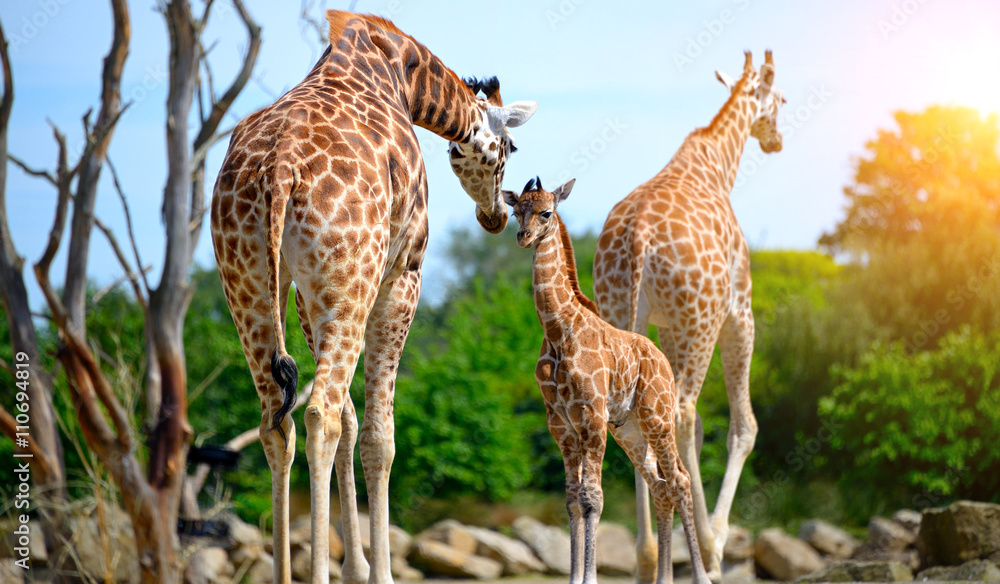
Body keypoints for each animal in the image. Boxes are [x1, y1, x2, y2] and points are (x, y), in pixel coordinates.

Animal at [210, 11, 537, 584]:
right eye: (510, 150)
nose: (495, 215)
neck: (400, 72)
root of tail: (278, 168)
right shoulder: (402, 274)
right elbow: (379, 436)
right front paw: (377, 571)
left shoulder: (309, 295)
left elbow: (353, 421)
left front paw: (357, 567)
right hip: (347, 281)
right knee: (319, 415)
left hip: (248, 282)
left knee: (278, 421)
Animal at [503, 177, 712, 584]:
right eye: (515, 210)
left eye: (546, 212)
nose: (523, 236)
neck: (558, 330)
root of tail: (663, 361)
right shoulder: (561, 423)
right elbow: (571, 499)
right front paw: (573, 577)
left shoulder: (592, 415)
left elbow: (592, 498)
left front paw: (589, 577)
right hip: (628, 429)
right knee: (660, 487)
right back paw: (663, 578)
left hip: (657, 417)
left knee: (679, 481)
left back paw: (703, 576)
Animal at [592, 50, 785, 582]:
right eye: (783, 99)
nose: (776, 140)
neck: (718, 165)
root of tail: (638, 238)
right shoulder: (738, 311)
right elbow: (742, 425)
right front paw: (715, 542)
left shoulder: (666, 325)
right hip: (702, 321)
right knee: (683, 410)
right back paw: (705, 552)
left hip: (623, 311)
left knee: (639, 418)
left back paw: (644, 557)